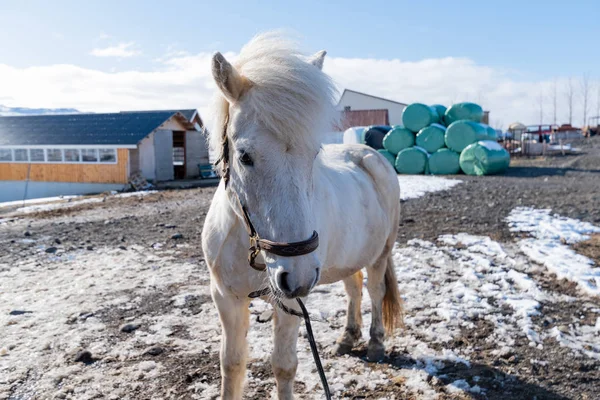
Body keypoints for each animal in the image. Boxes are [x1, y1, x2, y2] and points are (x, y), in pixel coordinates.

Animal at [202, 32, 404, 398]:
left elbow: (283, 366)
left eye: (313, 154)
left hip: (379, 254)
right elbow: (231, 364)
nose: (296, 275)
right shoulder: (225, 297)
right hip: (344, 257)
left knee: (375, 290)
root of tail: (371, 155)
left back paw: (375, 343)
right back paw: (347, 338)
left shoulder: (292, 301)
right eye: (245, 156)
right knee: (354, 288)